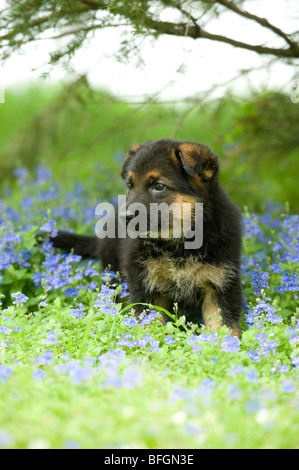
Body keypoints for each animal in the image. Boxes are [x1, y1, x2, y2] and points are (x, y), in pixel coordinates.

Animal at [47, 138, 244, 336]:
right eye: (130, 185)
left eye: (158, 186)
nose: (124, 217)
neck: (179, 244)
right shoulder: (146, 285)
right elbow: (148, 323)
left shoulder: (221, 284)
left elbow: (222, 326)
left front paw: (220, 344)